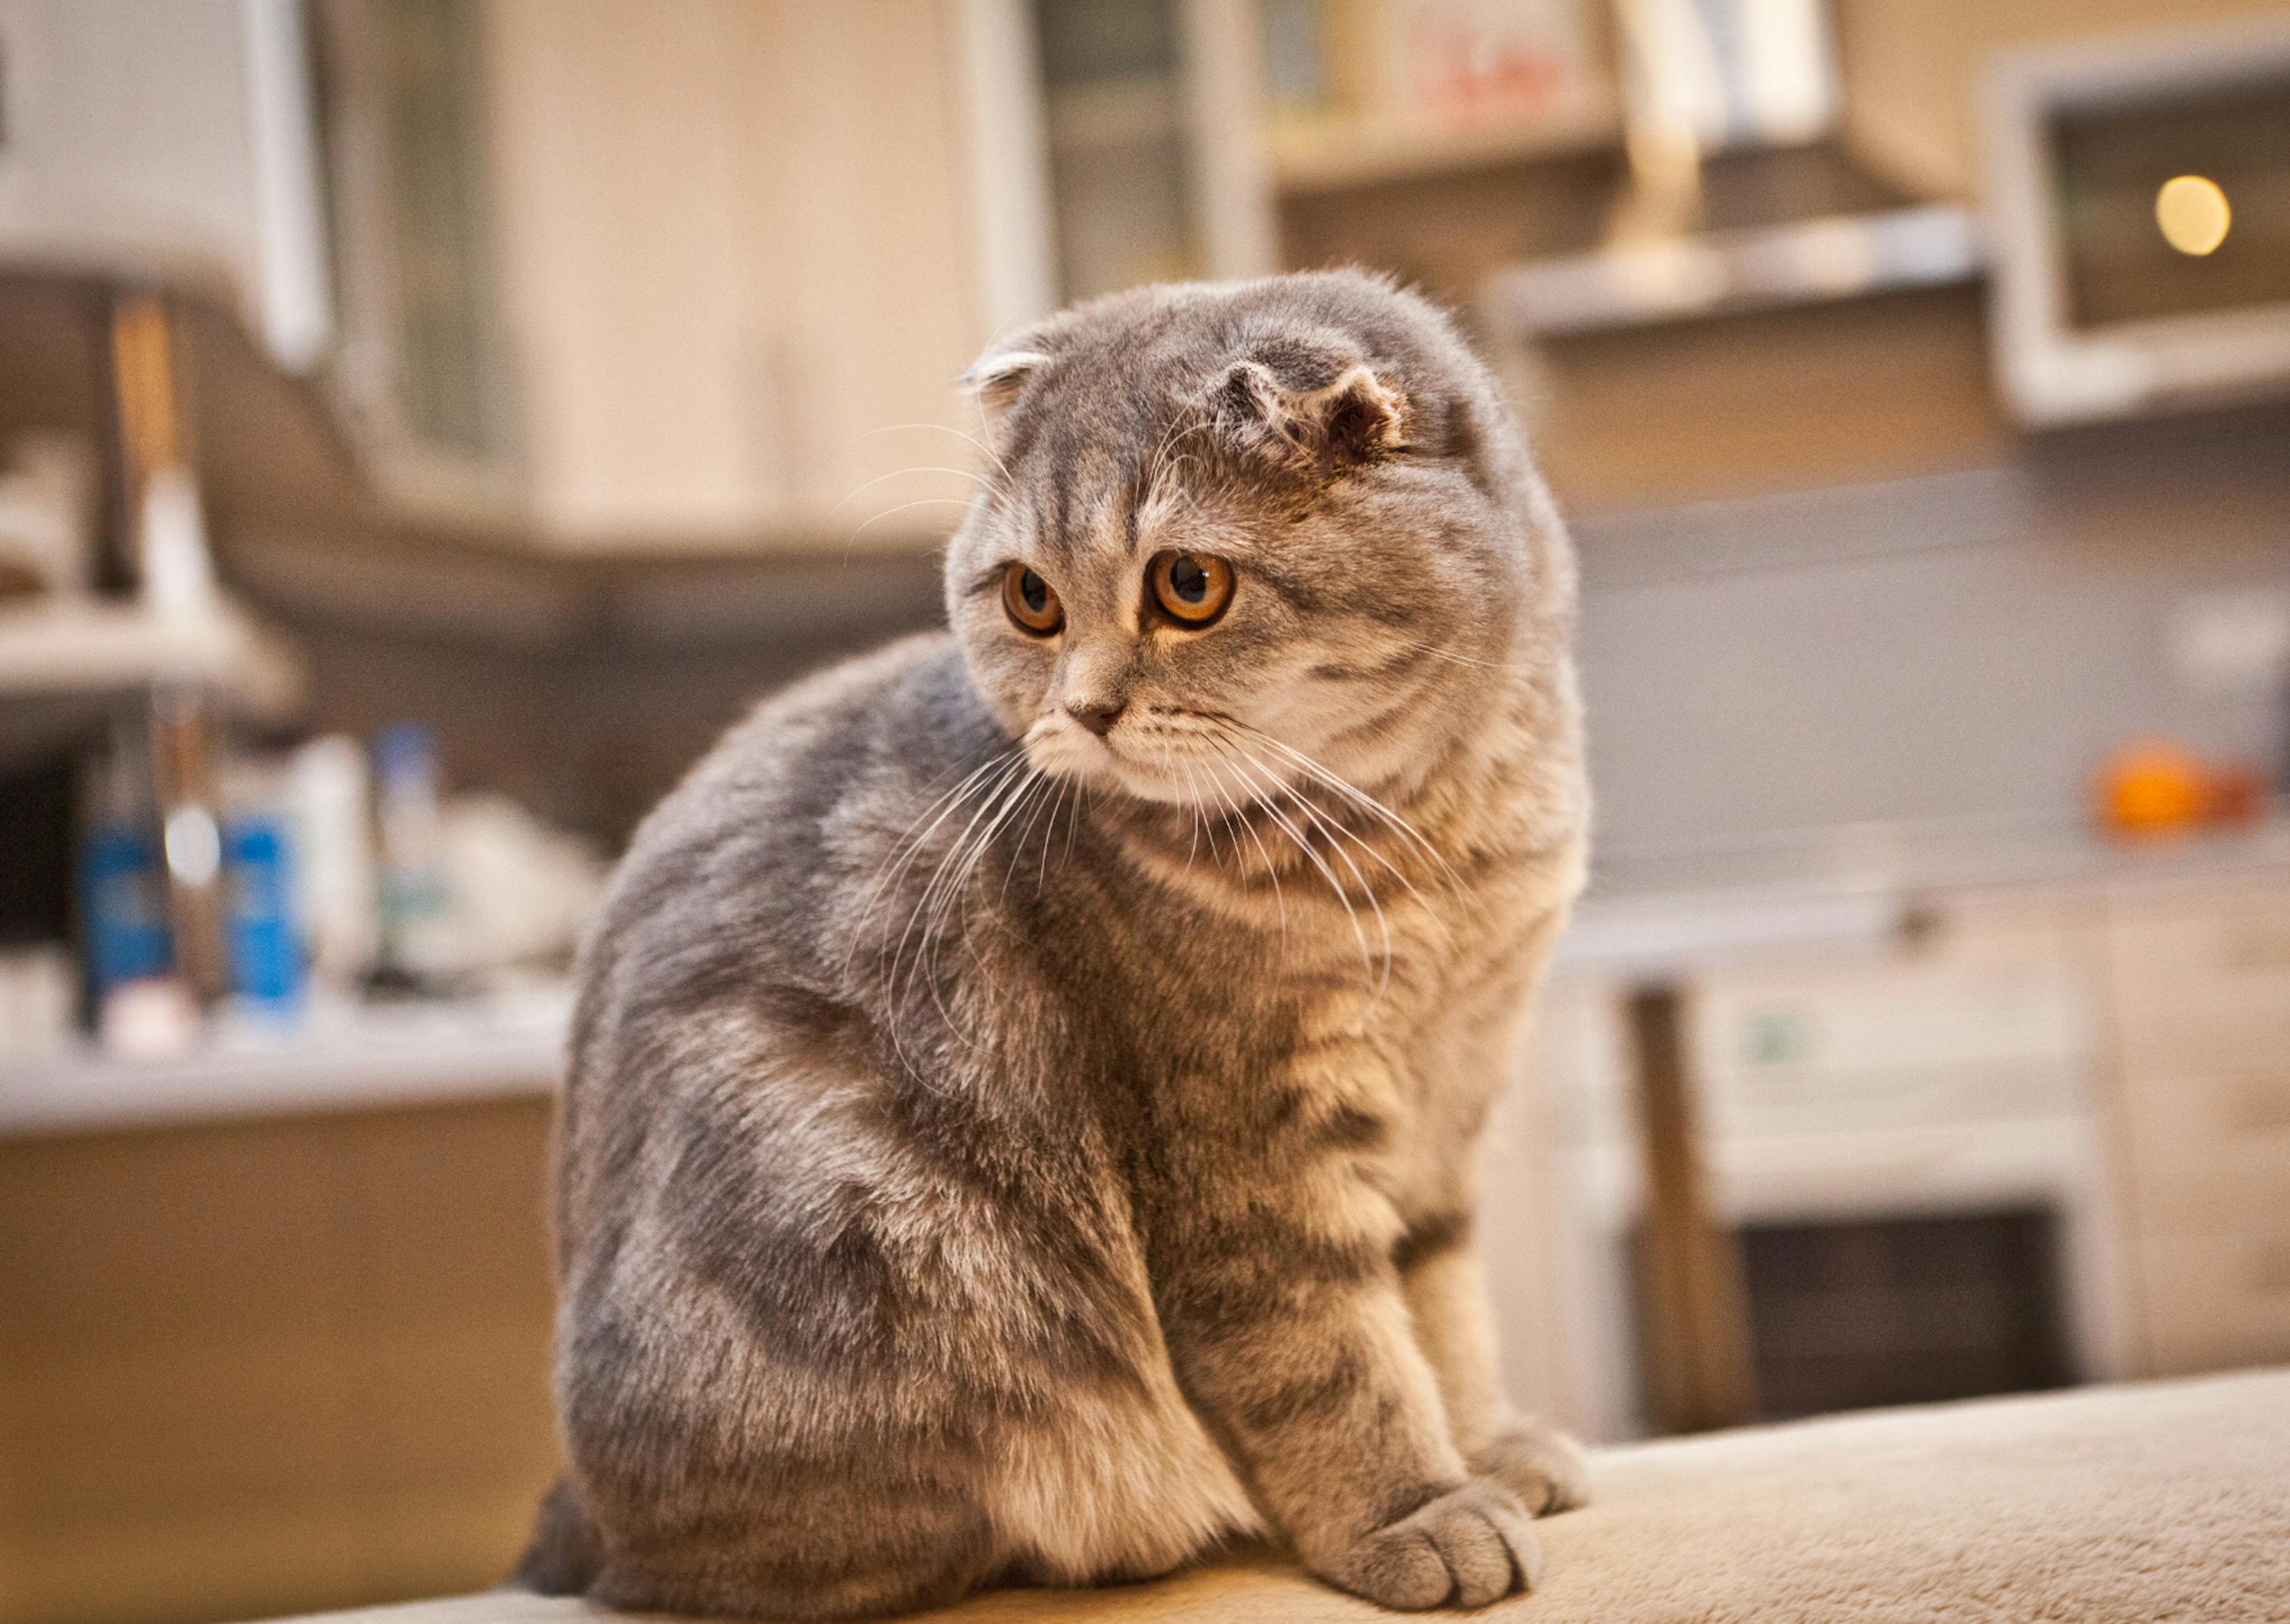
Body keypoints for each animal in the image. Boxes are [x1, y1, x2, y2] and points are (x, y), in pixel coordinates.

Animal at [524, 265, 1593, 1612]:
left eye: (1188, 585)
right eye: (1032, 599)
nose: (1084, 708)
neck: (1439, 850)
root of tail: (575, 1518)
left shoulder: (1450, 1110)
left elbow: (1445, 1309)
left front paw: (1492, 1445)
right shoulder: (1245, 1149)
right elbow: (1335, 1356)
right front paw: (1421, 1506)